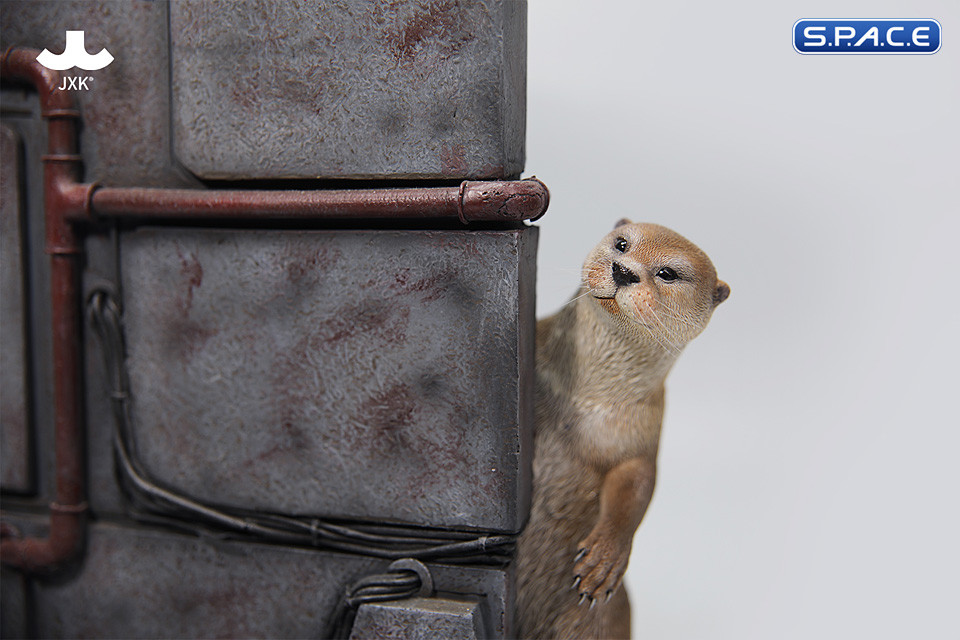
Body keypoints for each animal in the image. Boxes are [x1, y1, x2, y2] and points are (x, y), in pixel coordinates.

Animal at [516, 220, 730, 639]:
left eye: (668, 273)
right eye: (622, 244)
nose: (624, 271)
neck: (585, 399)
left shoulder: (642, 433)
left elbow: (637, 484)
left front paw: (604, 559)